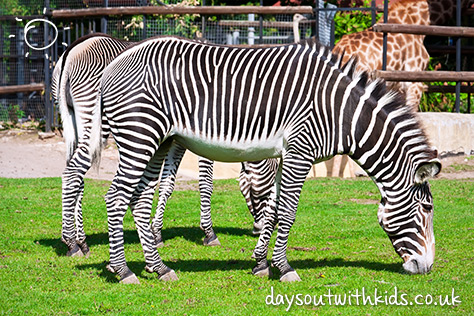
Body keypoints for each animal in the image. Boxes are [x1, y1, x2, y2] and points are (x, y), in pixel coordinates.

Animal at [51, 34, 270, 256]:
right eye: (267, 190)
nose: (258, 229)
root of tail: (72, 50)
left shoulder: (175, 139)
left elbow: (166, 184)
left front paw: (155, 233)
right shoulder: (205, 136)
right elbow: (205, 183)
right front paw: (209, 233)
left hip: (72, 122)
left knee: (76, 176)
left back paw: (81, 242)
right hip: (95, 121)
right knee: (75, 172)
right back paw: (72, 243)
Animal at [95, 37, 440, 284]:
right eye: (426, 209)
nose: (426, 268)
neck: (340, 112)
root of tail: (117, 61)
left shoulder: (286, 154)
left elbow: (272, 209)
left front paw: (261, 262)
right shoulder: (301, 151)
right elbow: (287, 212)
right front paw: (284, 267)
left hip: (160, 141)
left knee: (139, 200)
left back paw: (159, 267)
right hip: (140, 136)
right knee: (115, 198)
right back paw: (123, 271)